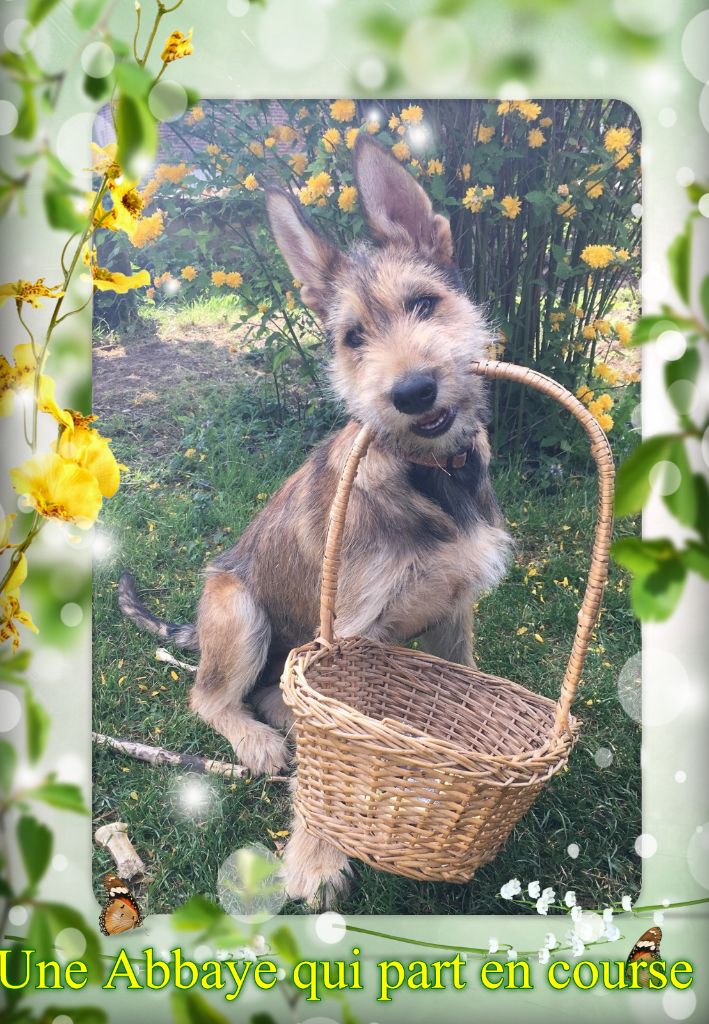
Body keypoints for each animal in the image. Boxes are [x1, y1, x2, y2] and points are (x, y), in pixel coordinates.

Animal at [118, 134, 512, 905]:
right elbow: (329, 752)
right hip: (238, 609)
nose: (411, 392)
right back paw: (260, 738)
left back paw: (276, 716)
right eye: (352, 337)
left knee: (265, 694)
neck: (428, 475)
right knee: (206, 695)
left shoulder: (455, 614)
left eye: (425, 304)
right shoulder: (348, 636)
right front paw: (317, 857)